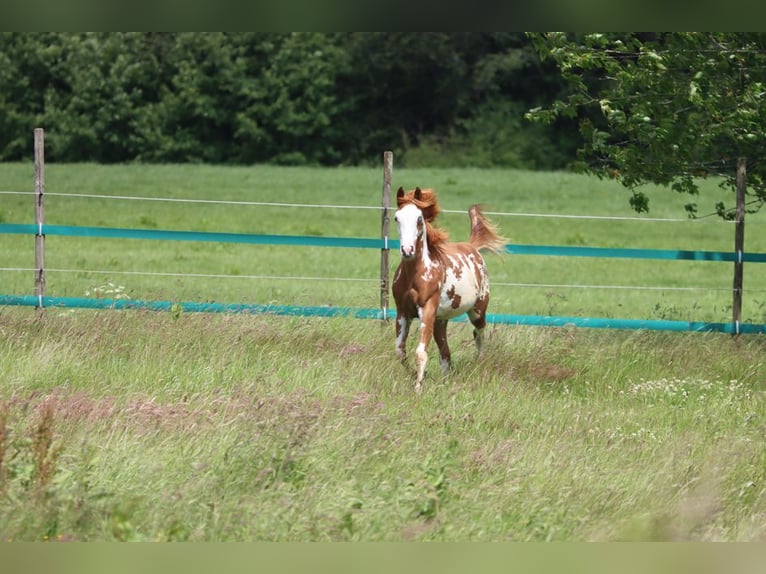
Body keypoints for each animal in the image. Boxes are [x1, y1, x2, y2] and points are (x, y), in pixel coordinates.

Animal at [392, 186, 506, 393]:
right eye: (397, 218)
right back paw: (445, 382)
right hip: (440, 321)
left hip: (477, 311)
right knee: (446, 354)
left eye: (419, 218)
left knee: (478, 334)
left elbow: (420, 353)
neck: (415, 274)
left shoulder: (427, 310)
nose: (407, 250)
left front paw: (418, 388)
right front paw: (419, 378)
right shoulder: (402, 312)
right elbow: (400, 351)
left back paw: (479, 363)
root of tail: (473, 247)